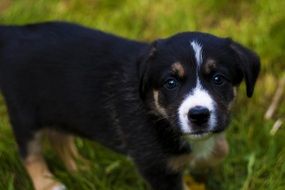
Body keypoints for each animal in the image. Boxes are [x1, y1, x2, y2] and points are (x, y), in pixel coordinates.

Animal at [0, 21, 258, 189]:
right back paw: (49, 184)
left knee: (59, 137)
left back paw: (82, 168)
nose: (199, 115)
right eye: (171, 83)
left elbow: (220, 149)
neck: (156, 113)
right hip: (24, 113)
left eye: (218, 79)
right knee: (30, 154)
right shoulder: (156, 169)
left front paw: (201, 161)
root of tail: (12, 33)